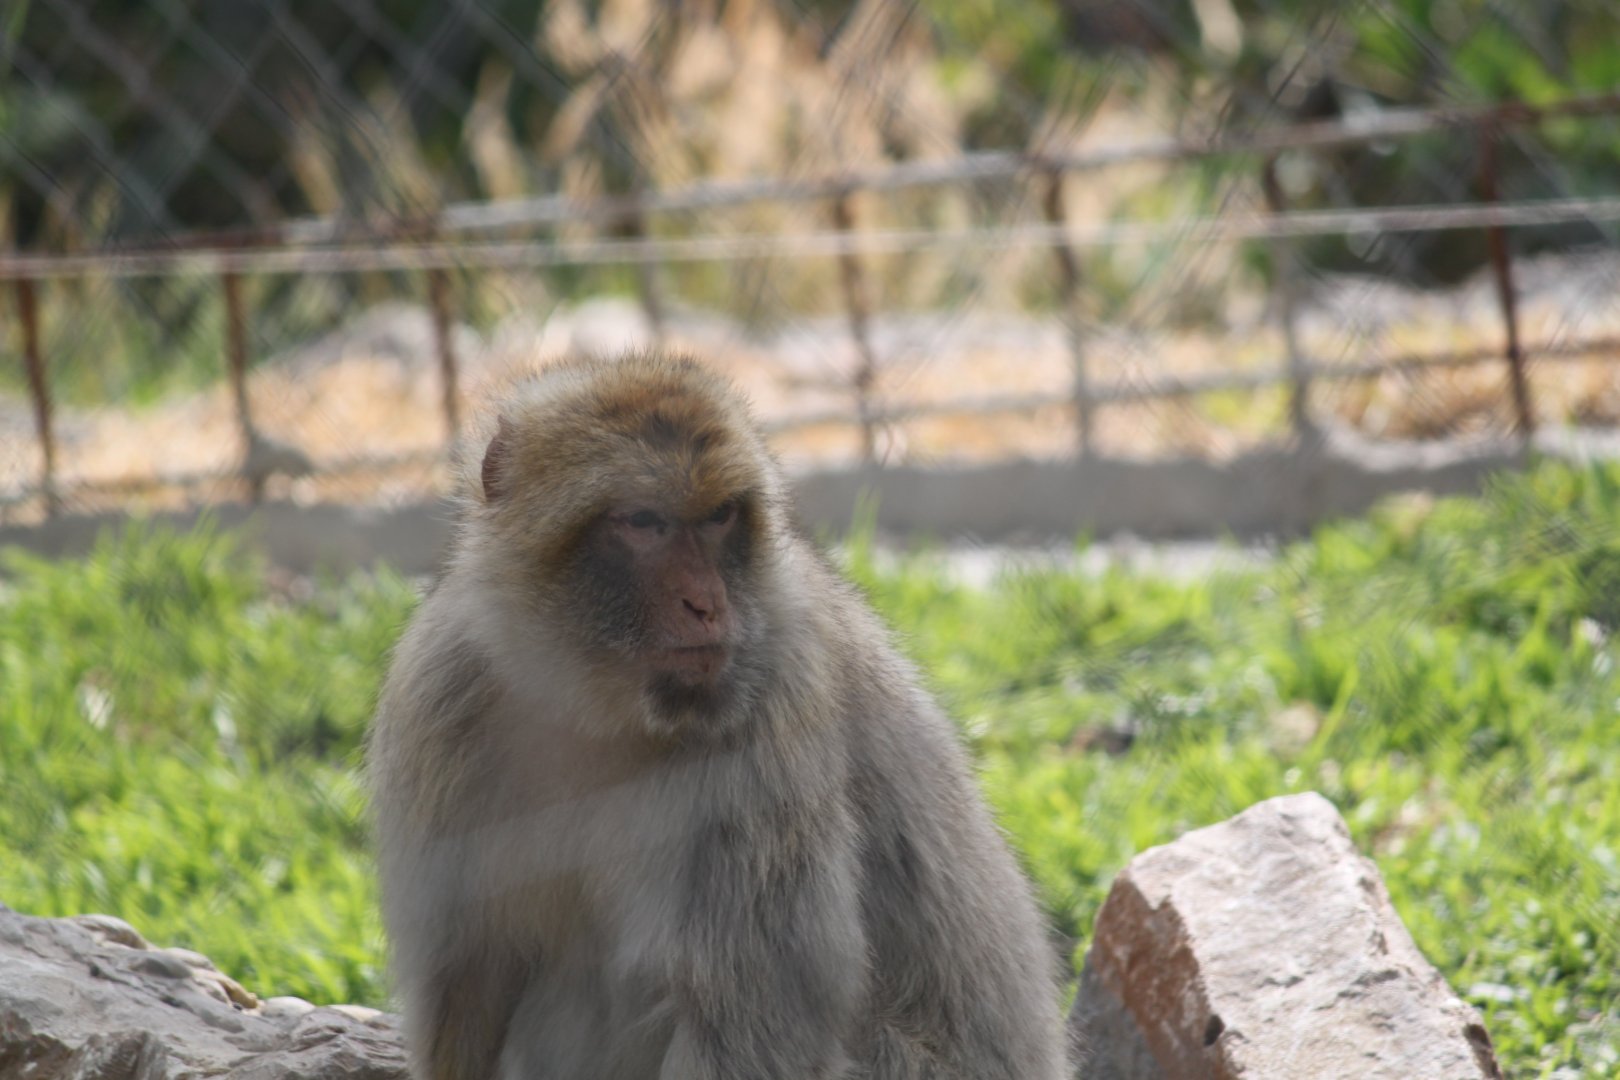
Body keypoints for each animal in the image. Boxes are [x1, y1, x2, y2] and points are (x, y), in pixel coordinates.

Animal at [368, 351, 1071, 1080]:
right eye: (642, 521)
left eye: (720, 516)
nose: (707, 603)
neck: (592, 699)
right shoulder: (442, 688)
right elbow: (468, 983)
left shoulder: (772, 707)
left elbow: (750, 1022)